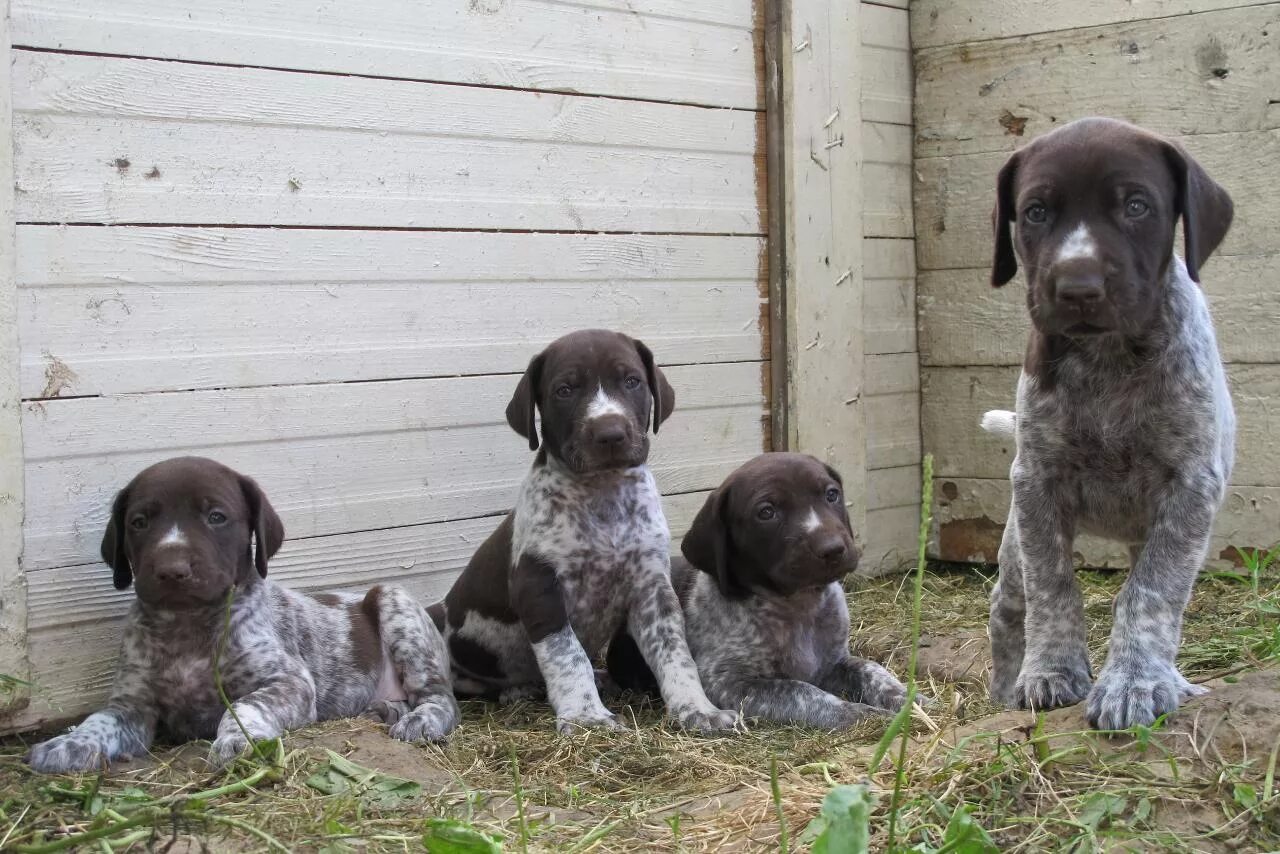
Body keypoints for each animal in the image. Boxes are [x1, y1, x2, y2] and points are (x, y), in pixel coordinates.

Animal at [26, 460, 460, 773]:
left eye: (216, 516)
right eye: (139, 522)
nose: (171, 569)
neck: (187, 625)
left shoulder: (289, 683)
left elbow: (245, 707)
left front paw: (241, 741)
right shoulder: (132, 706)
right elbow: (99, 720)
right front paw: (69, 743)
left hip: (395, 603)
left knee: (443, 699)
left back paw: (421, 719)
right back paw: (387, 708)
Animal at [427, 330, 737, 737]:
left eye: (631, 381)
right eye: (565, 390)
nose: (610, 433)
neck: (603, 494)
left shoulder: (653, 589)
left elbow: (675, 652)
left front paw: (697, 709)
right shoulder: (540, 589)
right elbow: (567, 655)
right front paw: (585, 716)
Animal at [609, 453, 911, 727]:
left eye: (832, 495)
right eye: (766, 512)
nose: (833, 549)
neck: (798, 607)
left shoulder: (834, 662)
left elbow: (870, 668)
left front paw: (905, 698)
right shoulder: (727, 682)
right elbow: (801, 691)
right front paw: (862, 714)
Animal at [983, 117, 1233, 732]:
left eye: (1137, 206)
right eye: (1036, 212)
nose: (1078, 288)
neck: (1110, 358)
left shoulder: (1191, 489)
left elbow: (1150, 593)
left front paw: (1136, 682)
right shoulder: (1037, 485)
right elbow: (1053, 586)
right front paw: (1050, 672)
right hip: (1014, 540)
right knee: (1007, 605)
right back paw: (1003, 689)